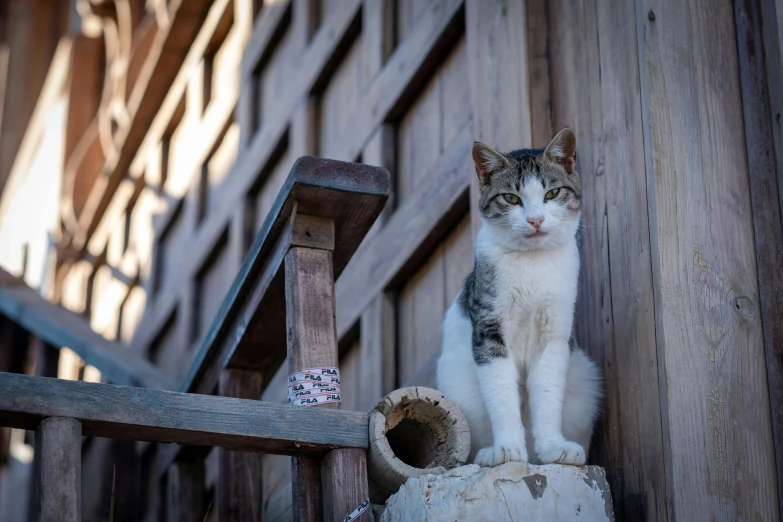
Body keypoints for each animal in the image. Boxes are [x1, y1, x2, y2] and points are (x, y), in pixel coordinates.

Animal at [438, 127, 604, 468]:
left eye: (552, 194)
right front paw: (507, 449)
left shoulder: (554, 335)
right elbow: (501, 395)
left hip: (584, 378)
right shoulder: (488, 331)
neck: (532, 263)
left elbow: (548, 394)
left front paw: (553, 448)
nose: (536, 219)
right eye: (511, 198)